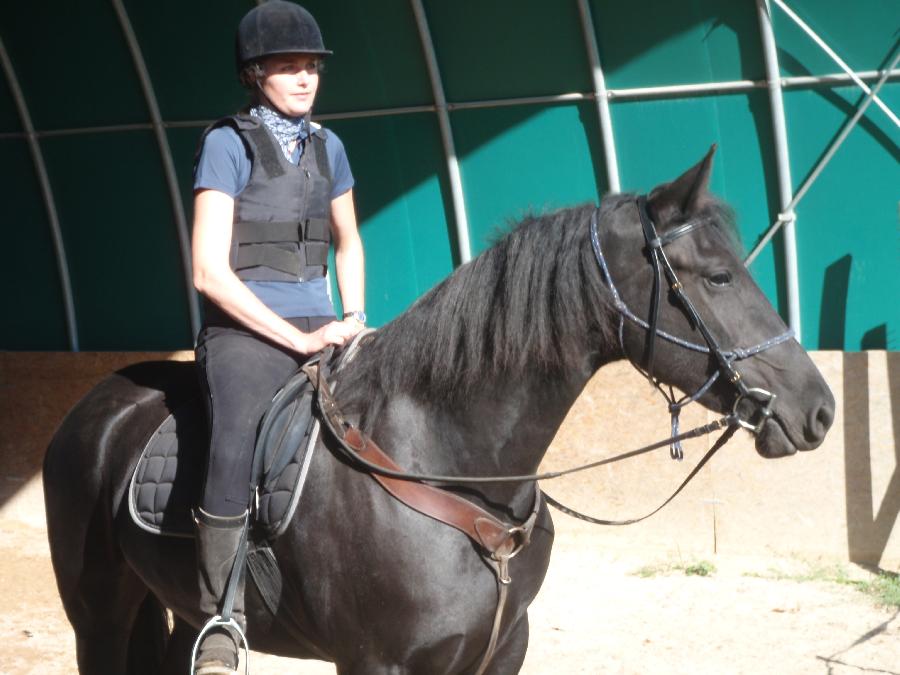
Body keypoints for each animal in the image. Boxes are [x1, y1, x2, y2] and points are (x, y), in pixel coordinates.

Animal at [40, 151, 828, 672]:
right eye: (719, 277)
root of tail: (95, 407)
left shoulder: (500, 651)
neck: (450, 465)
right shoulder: (375, 662)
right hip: (98, 618)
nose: (817, 410)